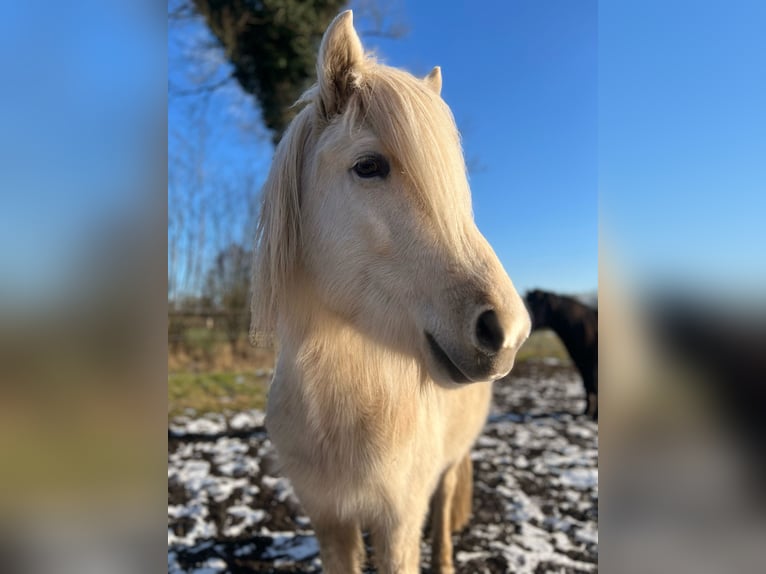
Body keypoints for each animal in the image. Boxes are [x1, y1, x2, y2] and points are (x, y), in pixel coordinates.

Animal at [250, 11, 530, 573]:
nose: (510, 332)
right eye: (368, 166)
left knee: (445, 505)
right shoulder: (328, 520)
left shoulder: (399, 520)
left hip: (447, 468)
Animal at [525, 289, 598, 420]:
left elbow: (594, 386)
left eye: (534, 304)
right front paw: (586, 412)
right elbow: (587, 386)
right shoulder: (581, 362)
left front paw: (595, 415)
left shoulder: (592, 363)